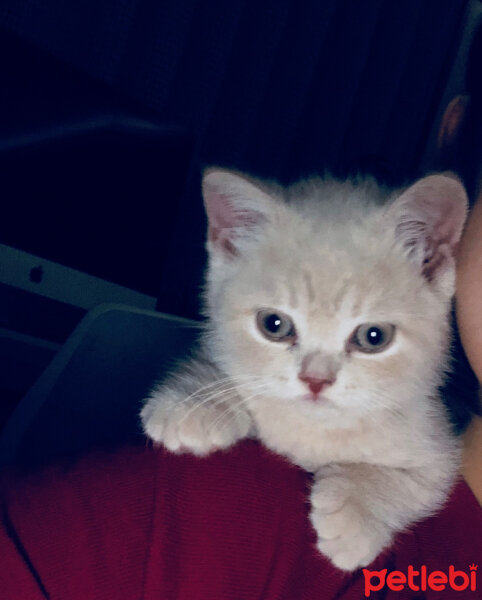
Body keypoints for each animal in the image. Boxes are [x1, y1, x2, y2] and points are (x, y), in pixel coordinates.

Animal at [139, 169, 466, 572]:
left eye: (374, 336)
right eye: (274, 324)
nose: (316, 380)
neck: (312, 432)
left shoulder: (437, 444)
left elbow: (420, 484)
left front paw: (356, 511)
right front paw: (196, 401)